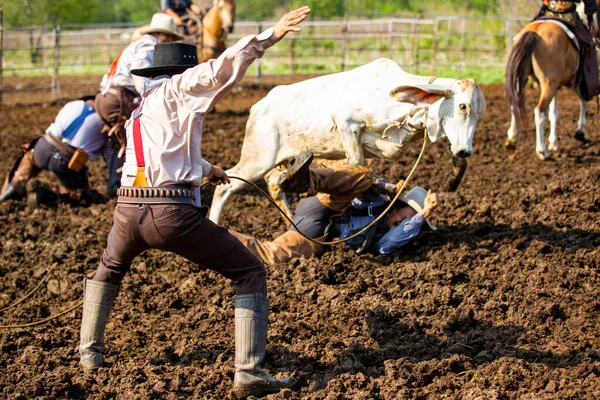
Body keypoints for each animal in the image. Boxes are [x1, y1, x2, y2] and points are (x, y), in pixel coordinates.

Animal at [504, 18, 588, 159]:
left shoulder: (556, 87)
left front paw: (553, 143)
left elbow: (554, 113)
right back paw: (542, 151)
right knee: (539, 112)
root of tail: (534, 31)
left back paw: (511, 140)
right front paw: (580, 131)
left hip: (526, 80)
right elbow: (584, 100)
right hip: (548, 84)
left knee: (514, 105)